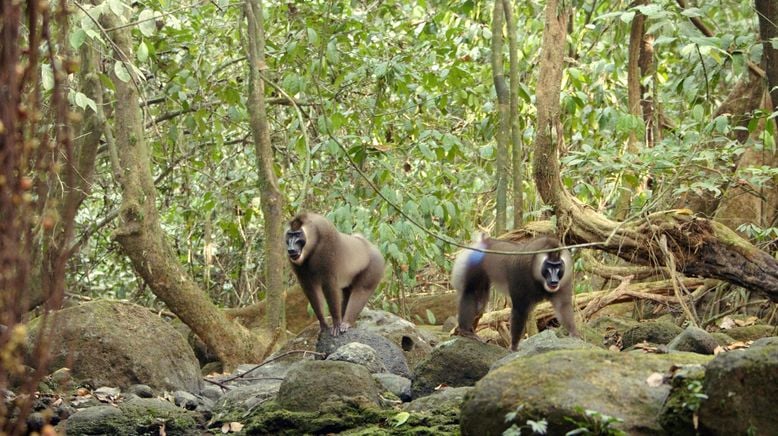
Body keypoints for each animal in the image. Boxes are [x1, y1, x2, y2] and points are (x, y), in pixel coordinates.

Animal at [448, 235, 576, 350]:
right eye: (549, 265)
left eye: (558, 265)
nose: (554, 280)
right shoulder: (520, 276)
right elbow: (519, 310)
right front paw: (514, 347)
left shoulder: (564, 280)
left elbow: (563, 306)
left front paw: (575, 335)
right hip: (472, 267)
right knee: (470, 294)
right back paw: (465, 331)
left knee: (479, 307)